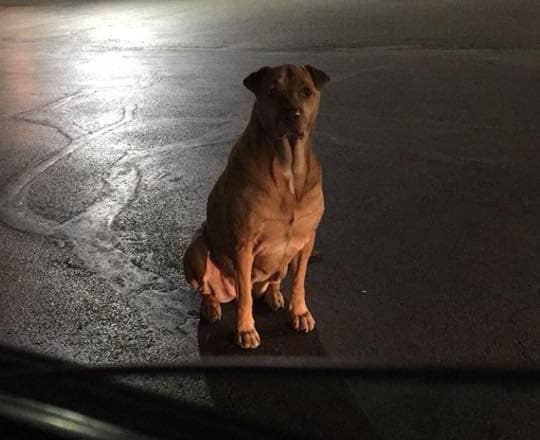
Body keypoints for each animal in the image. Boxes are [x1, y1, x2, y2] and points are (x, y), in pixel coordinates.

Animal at [184, 63, 330, 348]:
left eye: (306, 91)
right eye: (271, 91)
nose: (292, 115)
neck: (288, 167)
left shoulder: (307, 239)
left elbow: (299, 281)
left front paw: (300, 313)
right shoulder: (244, 246)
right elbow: (245, 299)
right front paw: (245, 330)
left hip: (283, 261)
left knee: (274, 279)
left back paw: (274, 294)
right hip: (196, 248)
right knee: (211, 290)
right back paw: (211, 307)